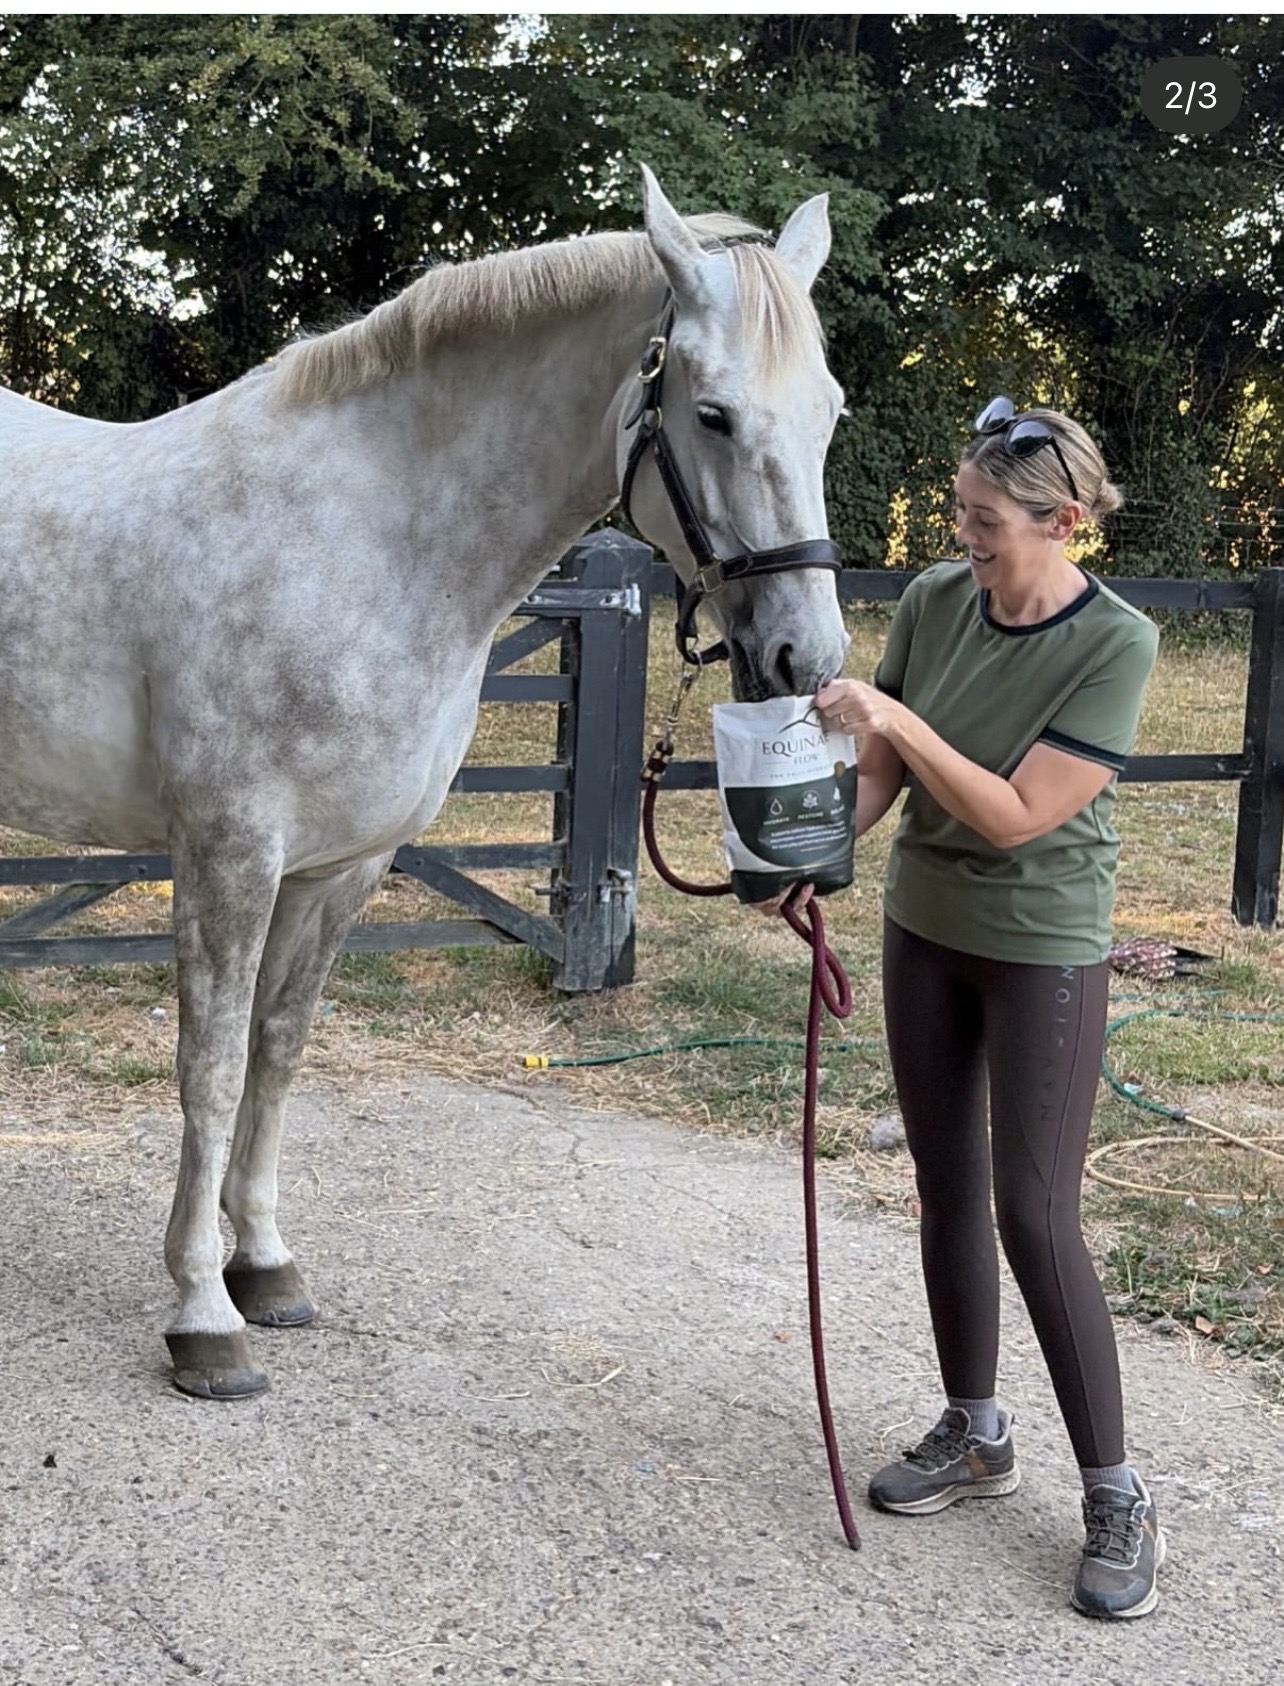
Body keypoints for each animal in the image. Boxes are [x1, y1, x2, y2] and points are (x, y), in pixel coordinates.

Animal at [0, 166, 849, 1399]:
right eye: (713, 415)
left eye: (830, 409)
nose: (807, 658)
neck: (361, 541)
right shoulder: (228, 856)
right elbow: (209, 1070)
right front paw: (204, 1315)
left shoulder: (343, 868)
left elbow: (279, 1053)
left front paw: (266, 1268)